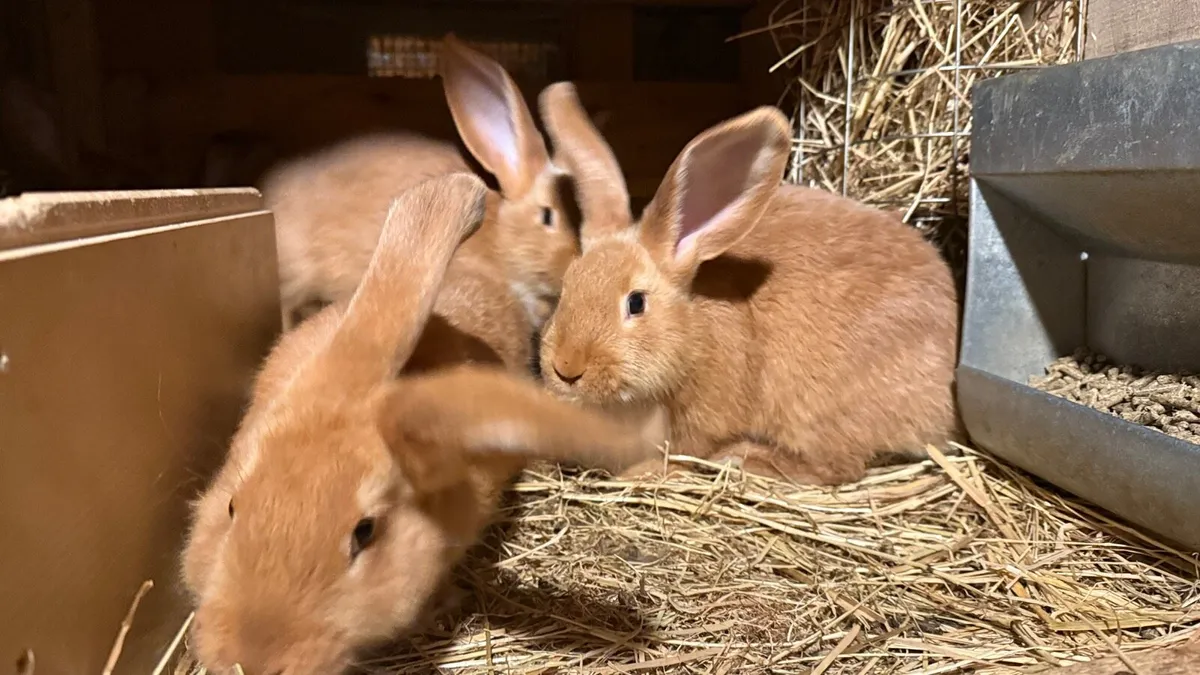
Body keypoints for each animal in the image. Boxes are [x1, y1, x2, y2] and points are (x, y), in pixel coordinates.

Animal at [535, 82, 963, 485]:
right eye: (567, 288)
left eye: (636, 303)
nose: (566, 368)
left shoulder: (704, 419)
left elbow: (684, 453)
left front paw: (639, 472)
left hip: (819, 412)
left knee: (839, 468)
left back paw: (745, 457)